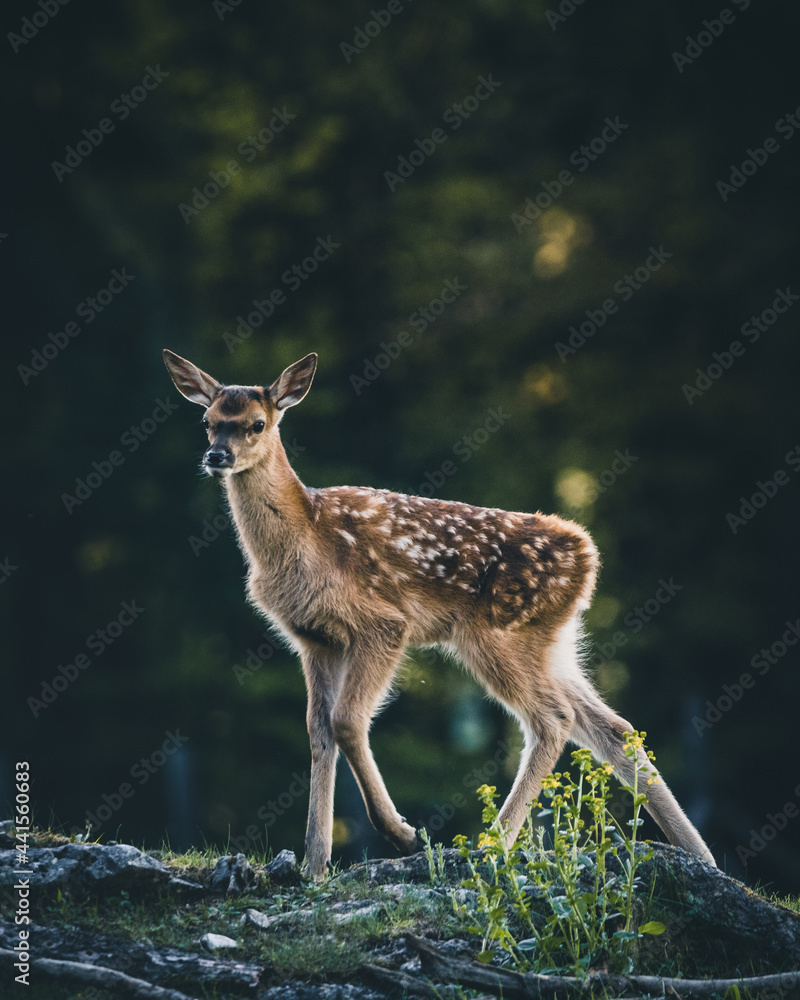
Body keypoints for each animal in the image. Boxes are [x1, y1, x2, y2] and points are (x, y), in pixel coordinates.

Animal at [163, 348, 717, 878]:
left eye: (257, 423)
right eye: (208, 420)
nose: (216, 455)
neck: (303, 537)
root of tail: (586, 553)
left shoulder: (383, 623)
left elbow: (346, 722)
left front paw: (404, 834)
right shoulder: (314, 639)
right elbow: (319, 734)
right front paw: (314, 864)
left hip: (496, 633)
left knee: (555, 719)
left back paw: (492, 845)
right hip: (548, 639)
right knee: (610, 726)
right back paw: (703, 858)